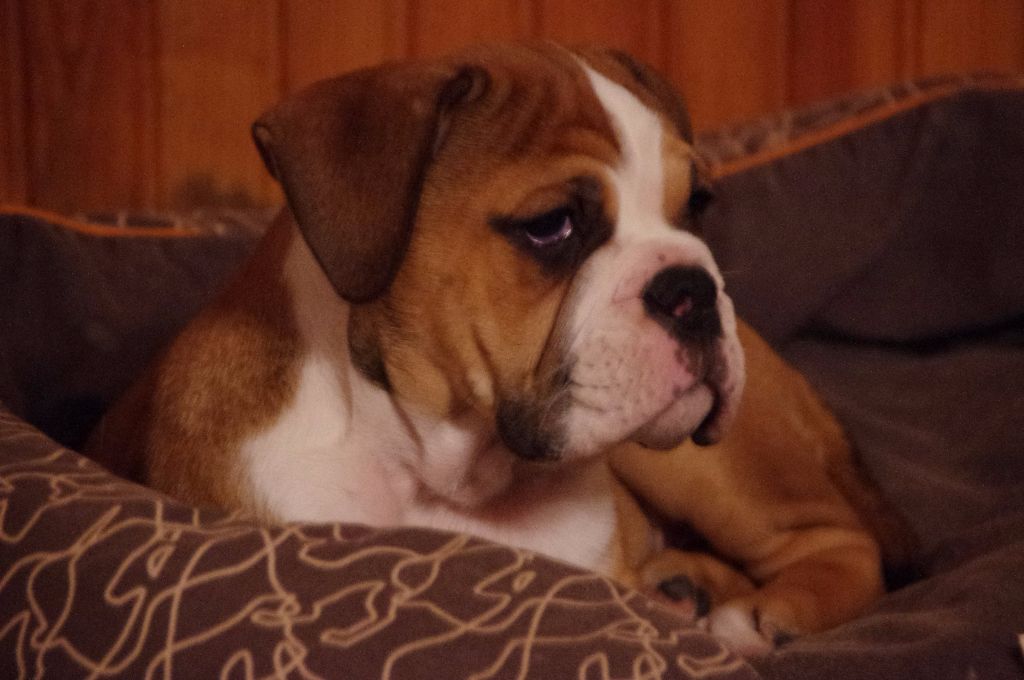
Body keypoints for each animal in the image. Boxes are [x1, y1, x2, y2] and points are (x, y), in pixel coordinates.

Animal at [87, 43, 904, 656]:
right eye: (551, 227)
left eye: (697, 204)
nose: (693, 289)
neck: (439, 471)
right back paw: (686, 590)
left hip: (709, 467)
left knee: (841, 539)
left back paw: (763, 613)